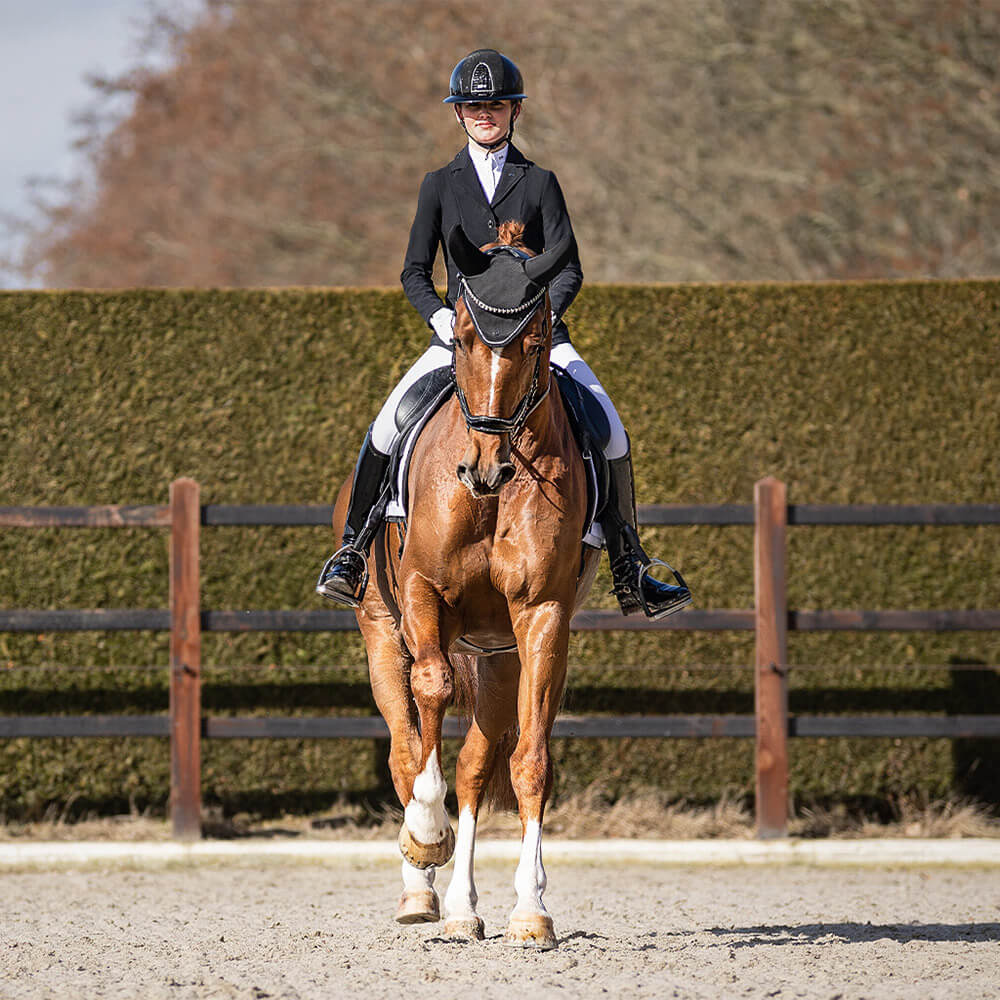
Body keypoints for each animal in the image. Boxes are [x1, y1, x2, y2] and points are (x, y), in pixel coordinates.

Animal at [330, 221, 599, 950]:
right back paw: (419, 890)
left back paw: (460, 908)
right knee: (405, 746)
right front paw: (425, 833)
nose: (484, 469)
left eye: (534, 343)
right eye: (464, 339)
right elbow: (430, 694)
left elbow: (529, 761)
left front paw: (531, 910)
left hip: (498, 657)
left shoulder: (541, 617)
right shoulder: (424, 594)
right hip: (380, 630)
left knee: (477, 765)